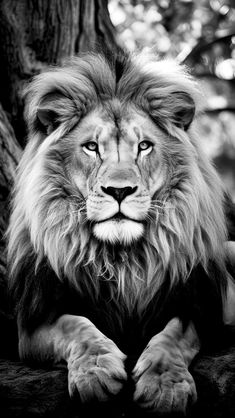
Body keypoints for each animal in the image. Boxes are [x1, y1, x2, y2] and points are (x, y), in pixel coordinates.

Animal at [7, 49, 235, 414]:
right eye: (91, 147)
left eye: (144, 146)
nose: (119, 190)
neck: (121, 260)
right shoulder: (34, 322)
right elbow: (74, 325)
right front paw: (96, 372)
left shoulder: (198, 308)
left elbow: (174, 336)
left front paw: (165, 386)